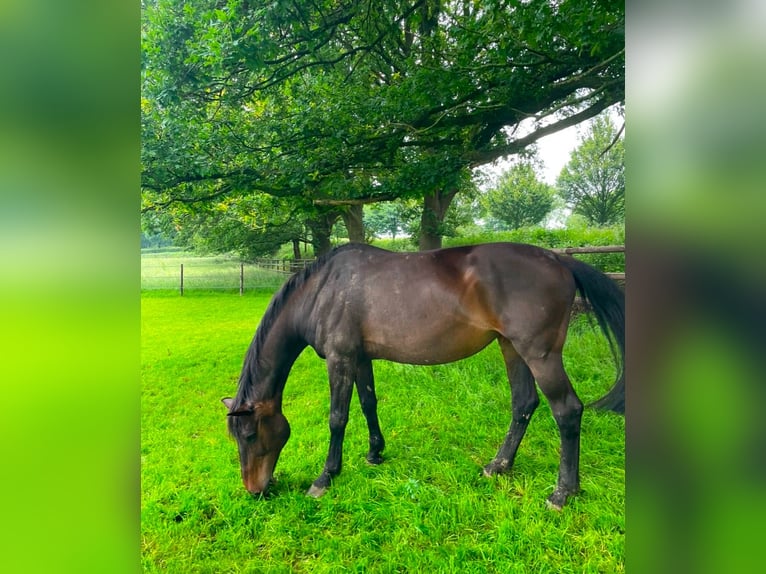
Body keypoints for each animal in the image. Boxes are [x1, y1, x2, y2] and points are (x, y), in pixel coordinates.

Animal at [220, 241, 624, 510]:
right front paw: (375, 453)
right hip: (512, 347)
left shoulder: (340, 359)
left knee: (567, 411)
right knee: (523, 403)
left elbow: (338, 418)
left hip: (539, 354)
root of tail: (557, 259)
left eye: (251, 434)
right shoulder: (360, 358)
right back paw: (498, 466)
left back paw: (563, 492)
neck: (323, 290)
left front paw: (325, 477)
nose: (254, 489)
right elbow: (368, 403)